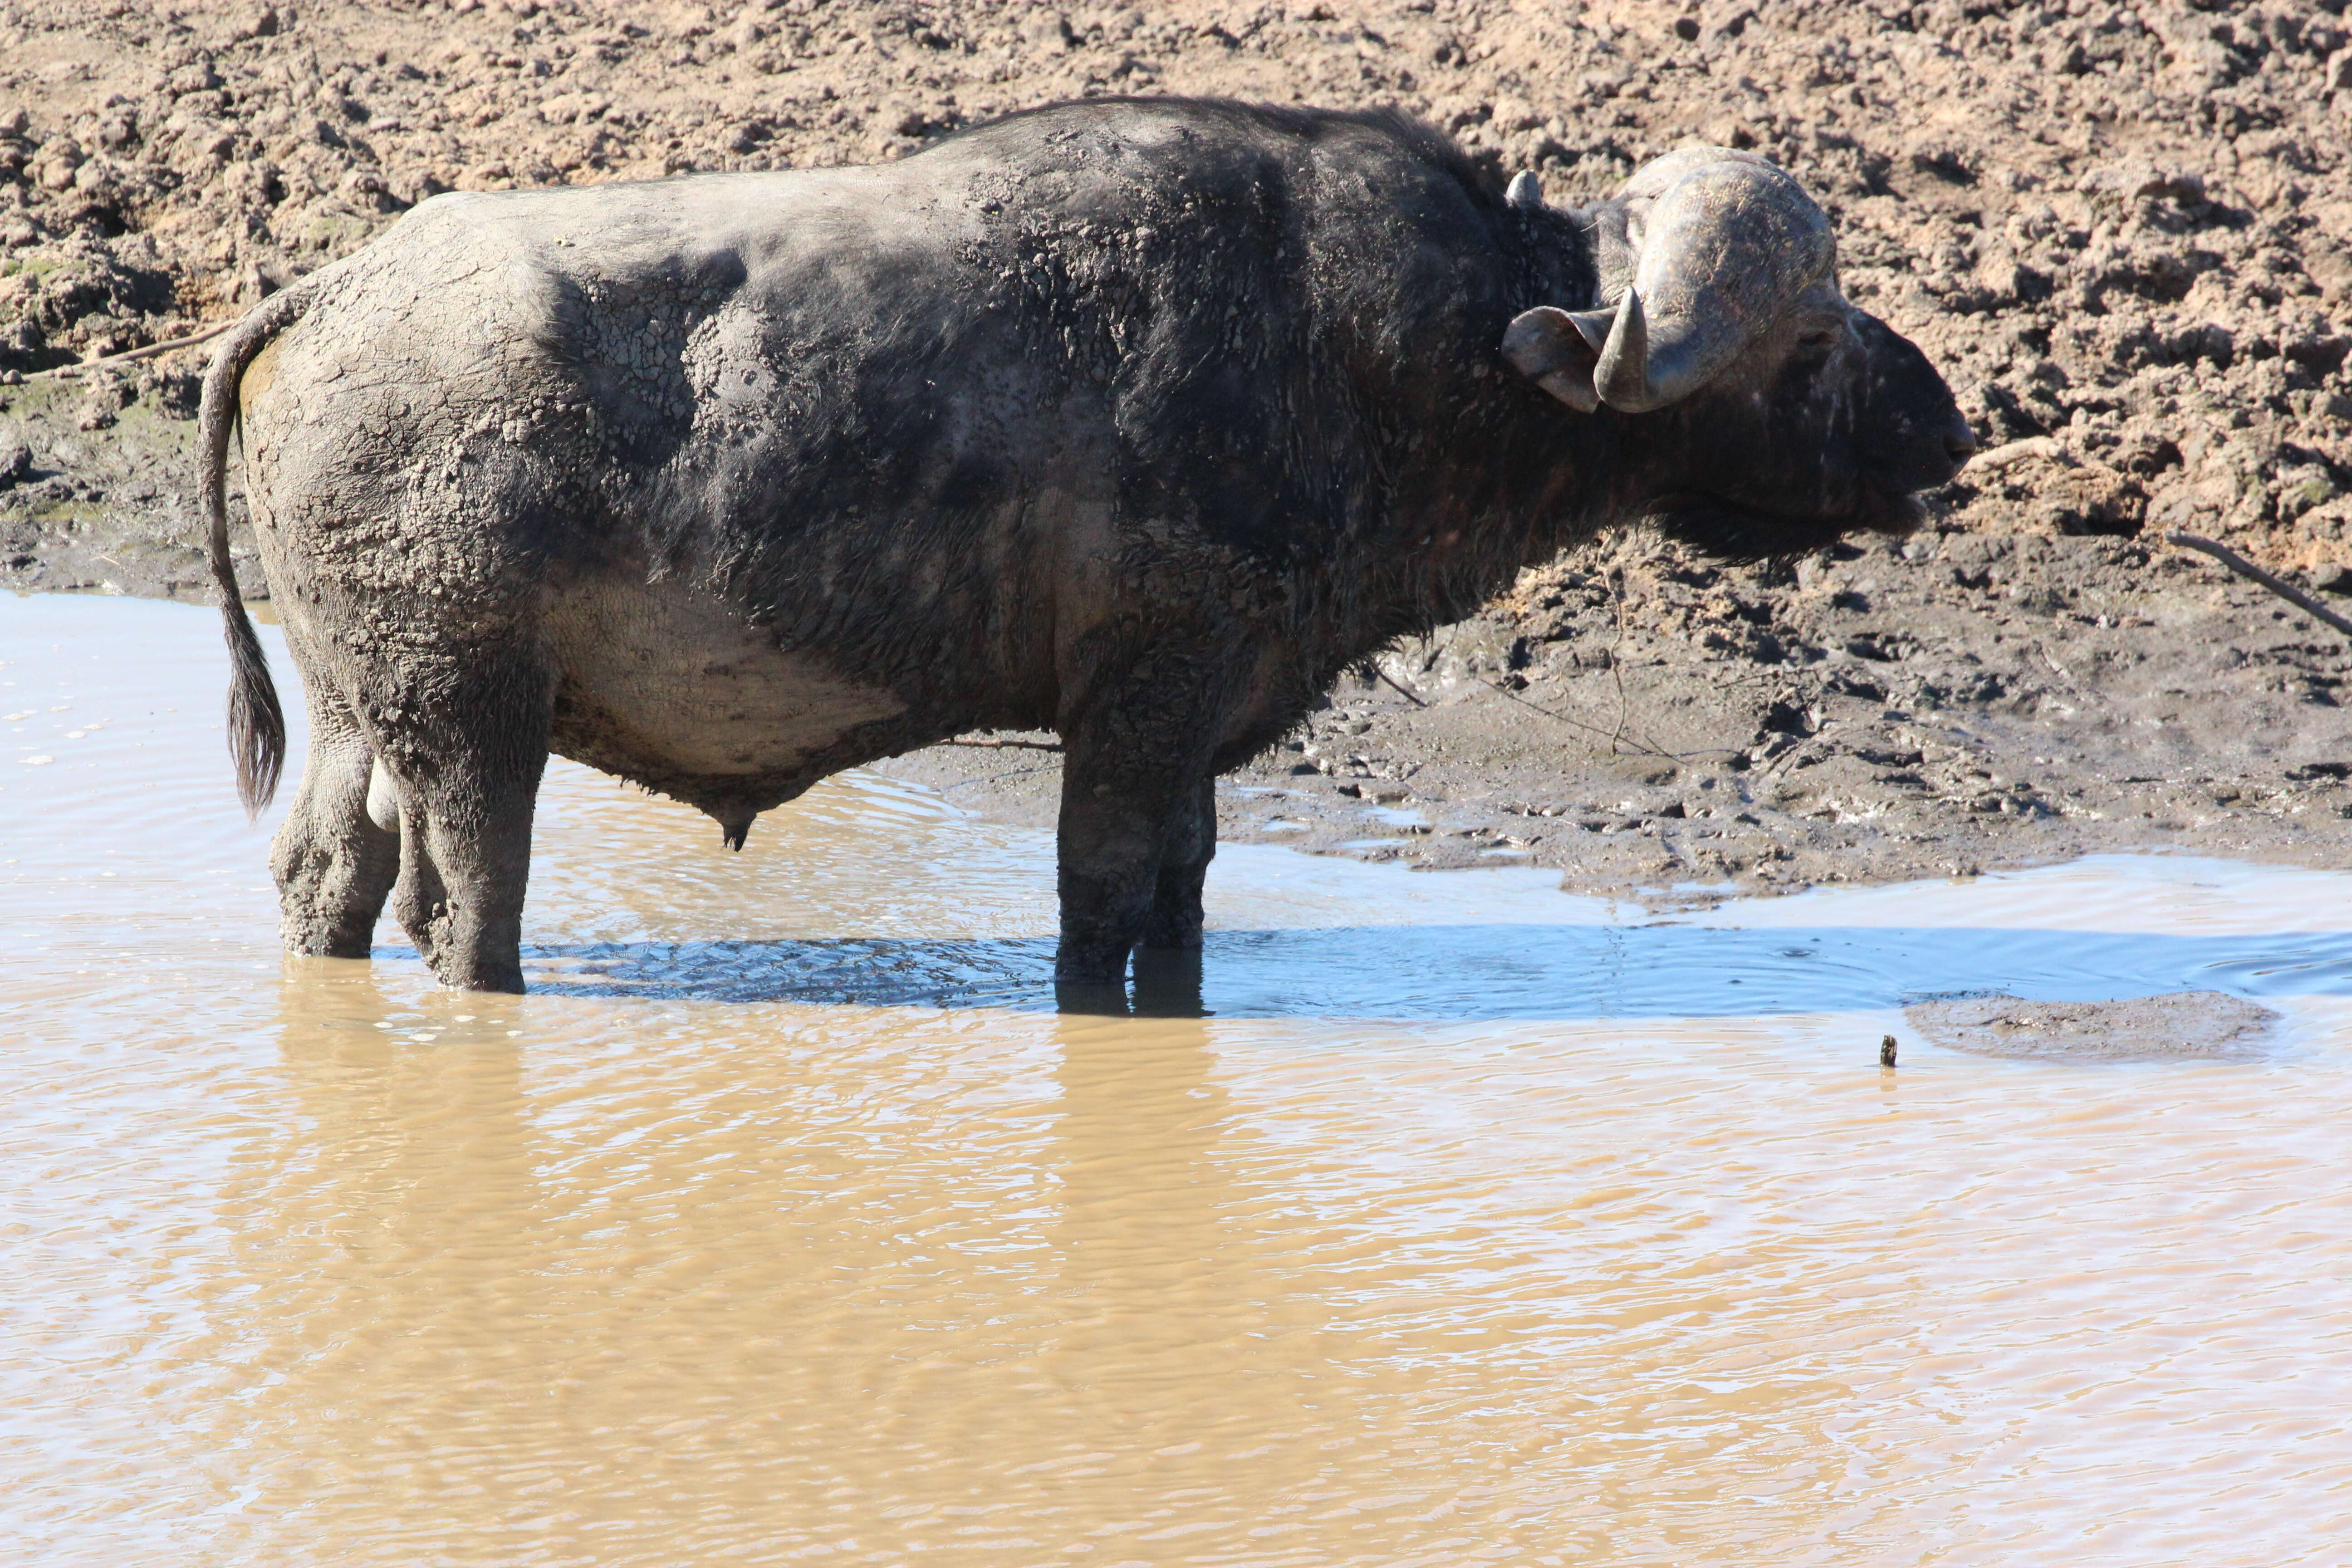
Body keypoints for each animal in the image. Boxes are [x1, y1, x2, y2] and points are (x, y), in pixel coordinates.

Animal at [197, 95, 1966, 992]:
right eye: (1812, 340)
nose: (1949, 435)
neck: (1371, 346)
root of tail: (327, 292)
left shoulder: (1193, 732)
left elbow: (1182, 893)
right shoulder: (1137, 707)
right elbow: (1104, 904)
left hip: (362, 712)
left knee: (327, 872)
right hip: (471, 723)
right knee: (464, 910)